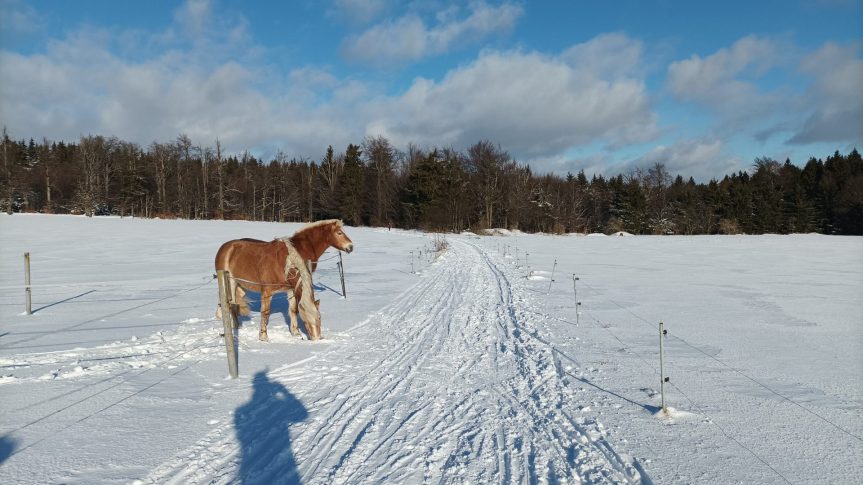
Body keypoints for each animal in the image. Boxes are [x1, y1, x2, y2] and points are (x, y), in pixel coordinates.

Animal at [216, 219, 354, 340]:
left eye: (319, 318)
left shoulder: (291, 289)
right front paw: (263, 337)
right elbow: (265, 312)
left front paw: (296, 333)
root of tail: (226, 247)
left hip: (241, 285)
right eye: (339, 233)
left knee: (234, 304)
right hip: (230, 283)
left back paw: (236, 327)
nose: (351, 247)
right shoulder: (267, 291)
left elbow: (293, 310)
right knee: (229, 304)